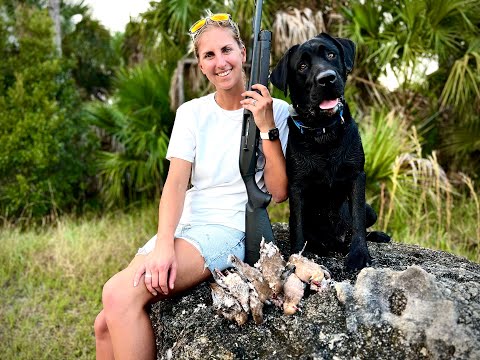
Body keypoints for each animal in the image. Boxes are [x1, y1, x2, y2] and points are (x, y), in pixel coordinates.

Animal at [270, 33, 390, 270]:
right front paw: (298, 255)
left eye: (331, 55)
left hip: (371, 210)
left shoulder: (356, 176)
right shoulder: (297, 185)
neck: (324, 132)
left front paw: (359, 254)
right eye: (302, 66)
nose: (327, 78)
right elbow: (297, 224)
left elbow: (357, 221)